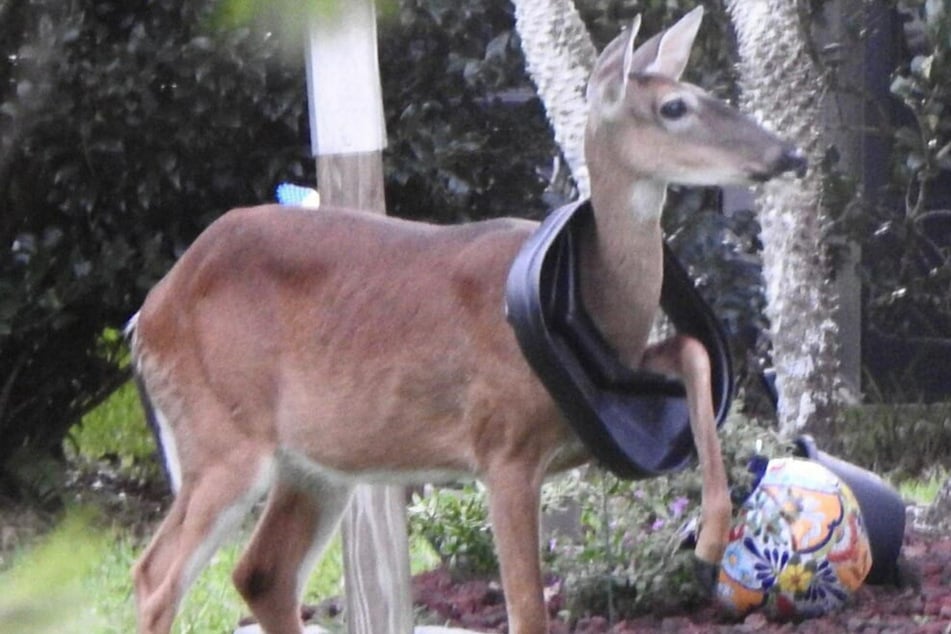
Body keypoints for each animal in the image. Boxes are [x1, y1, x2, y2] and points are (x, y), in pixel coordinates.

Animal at [130, 8, 808, 632]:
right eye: (674, 106)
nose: (791, 152)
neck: (596, 299)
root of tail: (147, 315)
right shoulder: (501, 445)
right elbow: (527, 612)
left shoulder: (613, 376)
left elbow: (694, 348)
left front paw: (712, 533)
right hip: (220, 432)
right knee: (157, 576)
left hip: (315, 461)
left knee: (260, 572)